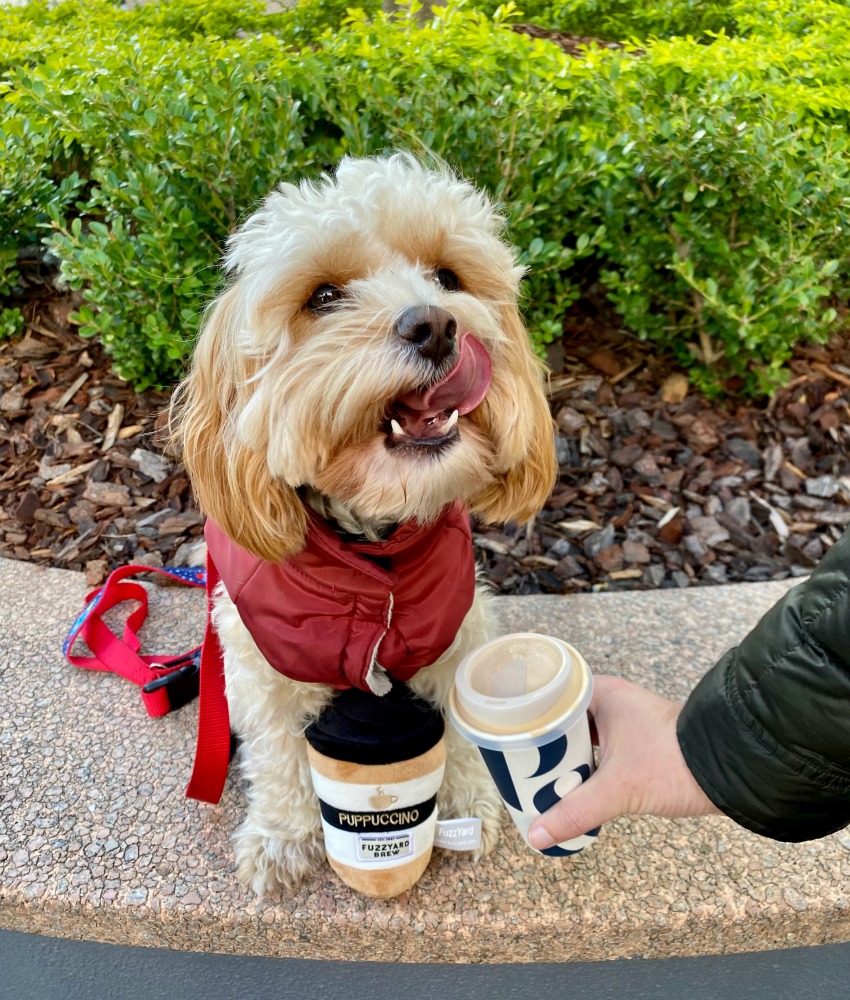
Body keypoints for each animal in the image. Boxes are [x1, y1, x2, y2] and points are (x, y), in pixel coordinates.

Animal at [171, 152, 556, 896]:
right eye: (323, 297)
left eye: (448, 278)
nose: (437, 324)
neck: (373, 557)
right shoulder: (259, 662)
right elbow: (279, 753)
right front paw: (282, 838)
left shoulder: (457, 628)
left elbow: (461, 727)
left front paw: (465, 802)